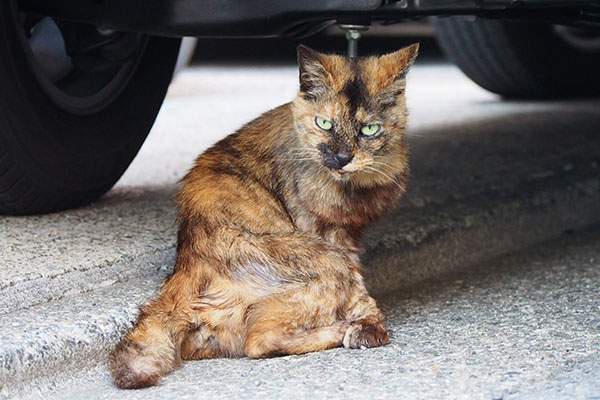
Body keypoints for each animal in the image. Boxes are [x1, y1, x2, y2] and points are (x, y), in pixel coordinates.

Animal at [109, 43, 418, 388]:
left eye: (369, 129)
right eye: (324, 124)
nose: (341, 157)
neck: (356, 185)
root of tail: (185, 270)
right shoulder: (330, 235)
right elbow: (359, 289)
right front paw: (369, 324)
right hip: (324, 259)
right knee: (258, 341)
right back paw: (342, 330)